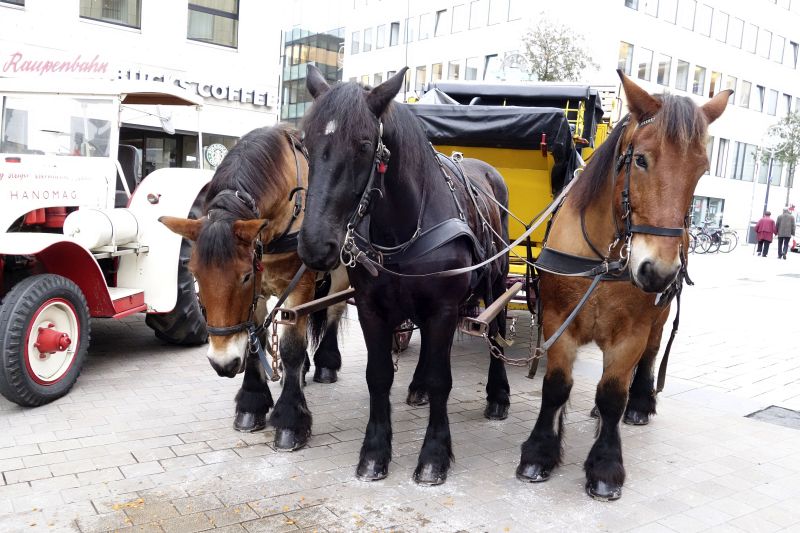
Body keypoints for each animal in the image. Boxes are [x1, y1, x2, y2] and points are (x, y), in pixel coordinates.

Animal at [160, 125, 348, 451]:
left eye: (245, 275)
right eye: (194, 274)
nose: (222, 363)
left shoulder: (299, 286)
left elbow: (291, 348)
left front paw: (290, 420)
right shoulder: (258, 294)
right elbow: (254, 338)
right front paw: (252, 403)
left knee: (334, 309)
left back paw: (326, 363)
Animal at [297, 65, 511, 485]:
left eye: (364, 145)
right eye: (305, 145)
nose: (315, 245)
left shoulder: (443, 307)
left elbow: (443, 380)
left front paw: (434, 456)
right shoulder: (371, 308)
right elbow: (378, 376)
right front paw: (375, 453)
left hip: (495, 282)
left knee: (496, 330)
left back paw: (498, 395)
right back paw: (417, 386)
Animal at [515, 72, 731, 500]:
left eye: (701, 169)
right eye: (641, 159)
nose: (658, 270)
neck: (605, 259)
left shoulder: (630, 331)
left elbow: (613, 392)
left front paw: (605, 465)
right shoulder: (557, 320)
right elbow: (556, 386)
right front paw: (540, 451)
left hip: (659, 315)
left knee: (649, 355)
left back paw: (640, 402)